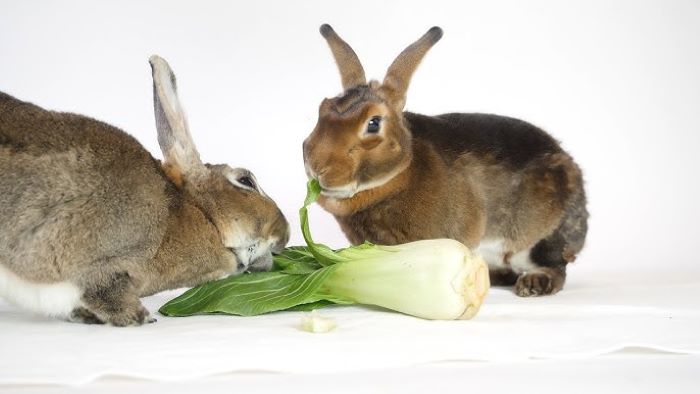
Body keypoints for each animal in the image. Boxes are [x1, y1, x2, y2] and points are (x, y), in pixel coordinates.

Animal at [304, 25, 588, 296]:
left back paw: (533, 283)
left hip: (541, 239)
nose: (316, 167)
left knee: (555, 266)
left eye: (373, 123)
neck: (399, 173)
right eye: (322, 108)